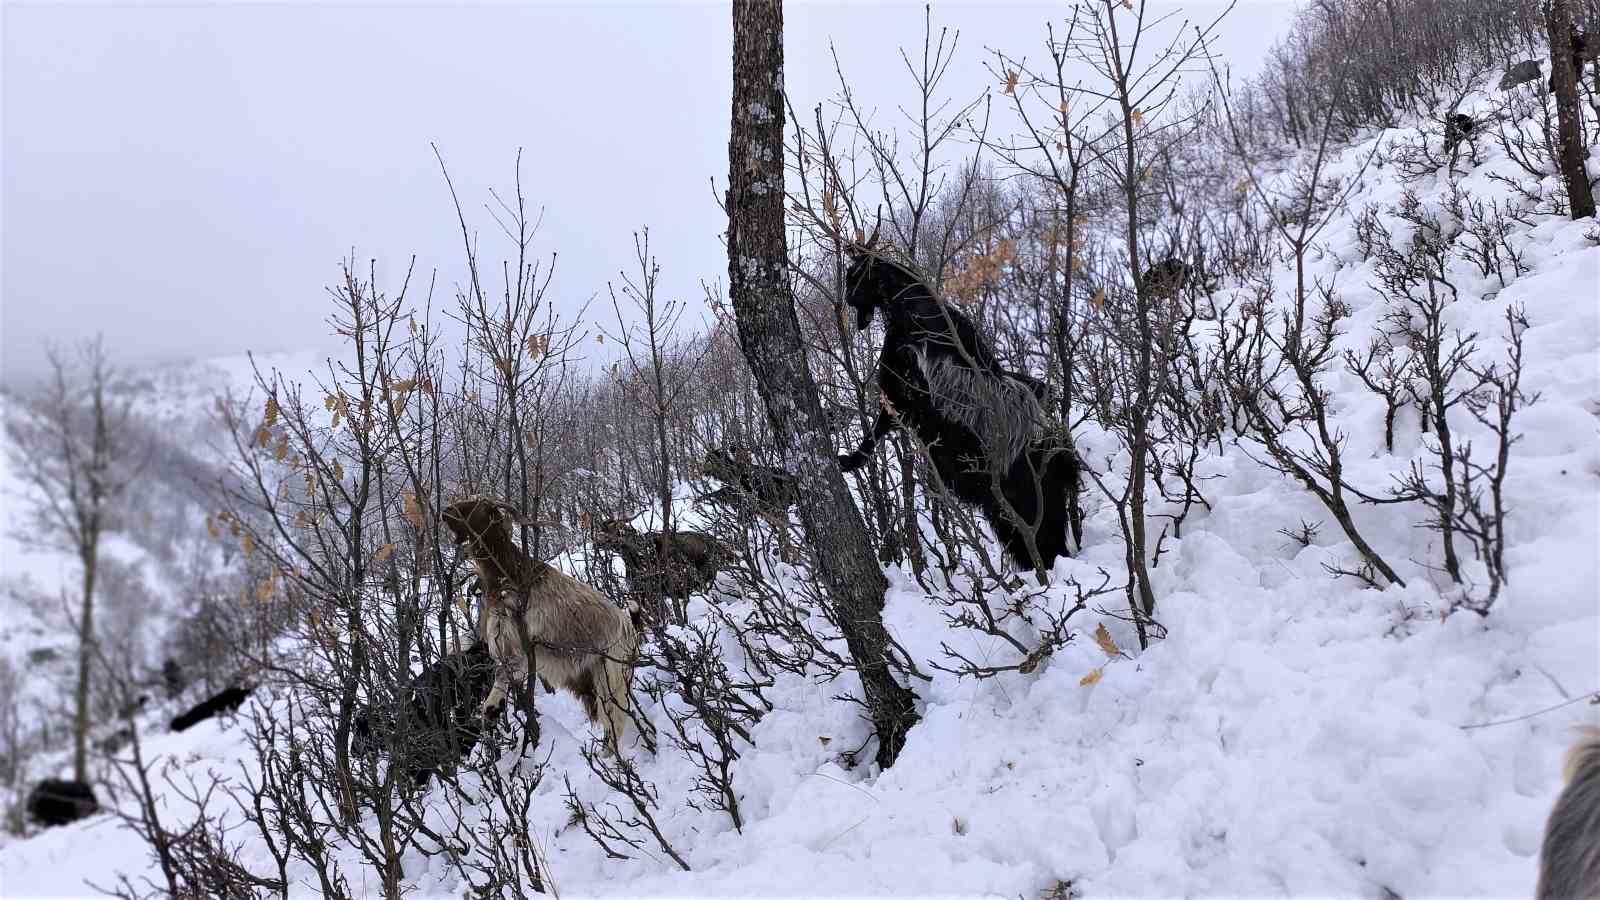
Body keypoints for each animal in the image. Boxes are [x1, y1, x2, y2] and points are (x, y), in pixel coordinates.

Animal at [441, 493, 640, 746]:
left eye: (479, 505)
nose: (445, 512)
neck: (508, 575)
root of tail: (631, 631)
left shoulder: (520, 643)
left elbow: (504, 671)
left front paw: (492, 708)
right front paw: (492, 709)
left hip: (610, 678)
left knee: (615, 724)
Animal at [832, 241, 1081, 570]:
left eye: (855, 276)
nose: (846, 296)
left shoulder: (903, 389)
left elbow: (877, 428)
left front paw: (849, 459)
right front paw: (850, 459)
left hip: (1026, 513)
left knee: (1046, 548)